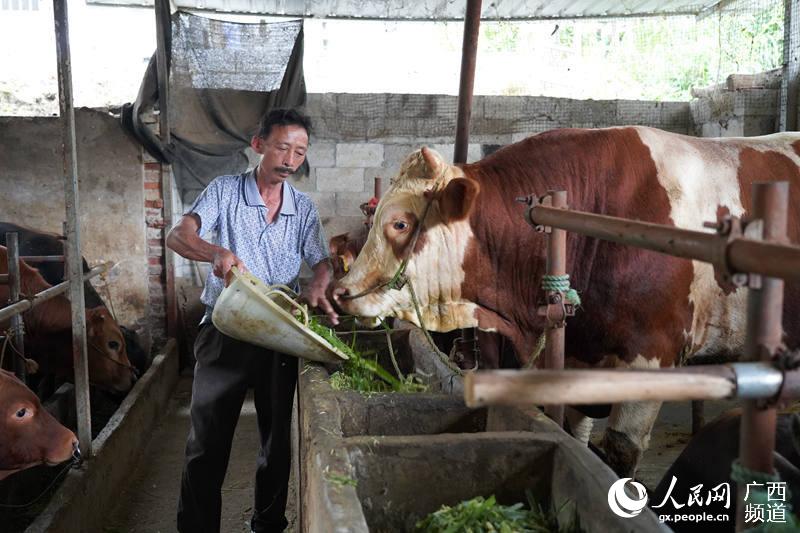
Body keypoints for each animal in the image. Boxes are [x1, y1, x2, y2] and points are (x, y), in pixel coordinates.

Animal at [334, 127, 800, 476]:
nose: (340, 292)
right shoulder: (577, 359)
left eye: (400, 223)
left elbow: (618, 453)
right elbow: (575, 435)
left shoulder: (652, 358)